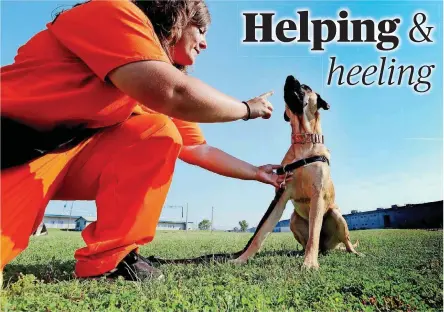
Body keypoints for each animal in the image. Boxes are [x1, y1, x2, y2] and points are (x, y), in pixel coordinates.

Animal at [232, 75, 360, 268]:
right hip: (293, 219)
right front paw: (242, 258)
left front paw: (310, 264)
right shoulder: (280, 197)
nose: (289, 77)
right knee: (307, 242)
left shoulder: (317, 195)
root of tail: (326, 248)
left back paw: (355, 252)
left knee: (346, 241)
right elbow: (260, 234)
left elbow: (314, 234)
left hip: (337, 215)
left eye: (306, 87)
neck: (303, 142)